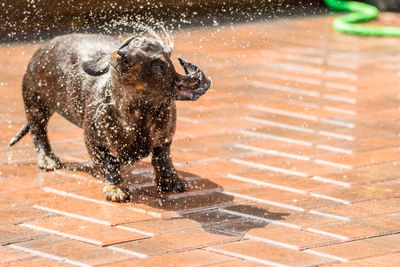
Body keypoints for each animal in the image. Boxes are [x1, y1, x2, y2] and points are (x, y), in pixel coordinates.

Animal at [7, 34, 211, 203]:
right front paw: (116, 188)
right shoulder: (95, 141)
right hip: (36, 101)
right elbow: (109, 164)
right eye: (134, 43)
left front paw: (171, 179)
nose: (123, 55)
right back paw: (47, 159)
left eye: (159, 67)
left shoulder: (164, 138)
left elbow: (162, 158)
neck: (133, 114)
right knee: (38, 132)